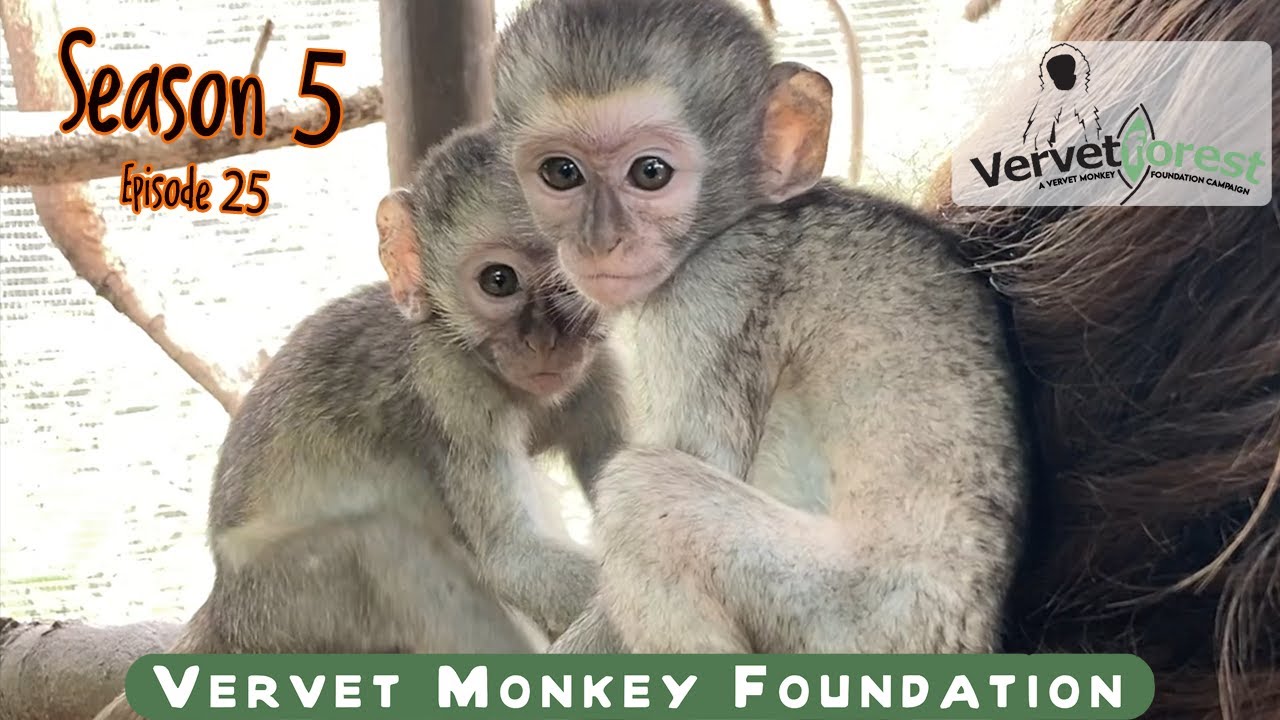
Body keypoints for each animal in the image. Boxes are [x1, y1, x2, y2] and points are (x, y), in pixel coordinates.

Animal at [92, 123, 626, 719]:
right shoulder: (452, 387)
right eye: (498, 280)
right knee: (379, 544)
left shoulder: (603, 372)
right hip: (277, 610)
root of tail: (220, 607)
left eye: (576, 282)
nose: (546, 342)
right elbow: (511, 557)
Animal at [492, 0, 1028, 654]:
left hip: (854, 623)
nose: (600, 240)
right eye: (562, 172)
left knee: (644, 494)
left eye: (650, 173)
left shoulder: (709, 292)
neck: (739, 221)